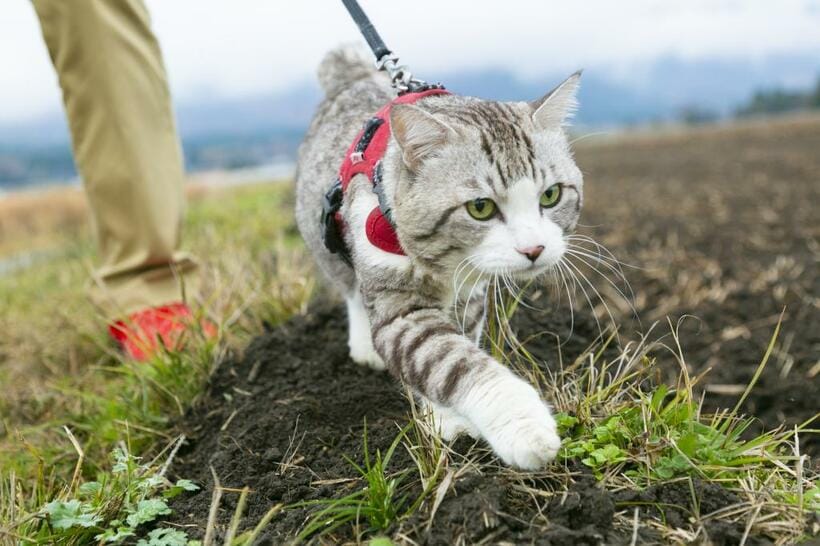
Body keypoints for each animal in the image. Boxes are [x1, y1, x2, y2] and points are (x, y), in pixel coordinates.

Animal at [294, 46, 584, 468]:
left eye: (551, 195)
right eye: (480, 207)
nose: (534, 249)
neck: (444, 263)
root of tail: (349, 74)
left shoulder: (471, 295)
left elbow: (460, 342)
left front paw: (447, 417)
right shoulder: (399, 306)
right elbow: (449, 361)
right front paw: (522, 424)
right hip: (324, 235)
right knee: (349, 286)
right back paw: (364, 345)